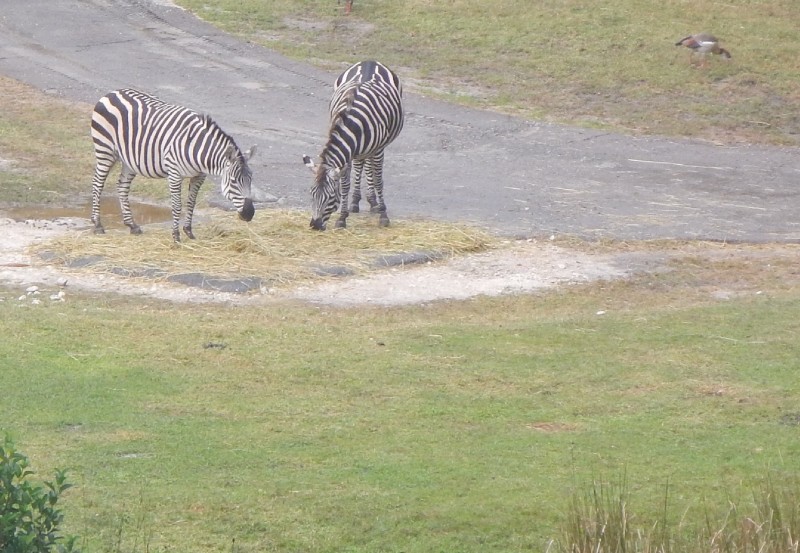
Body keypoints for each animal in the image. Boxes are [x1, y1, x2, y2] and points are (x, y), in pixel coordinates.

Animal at [90, 88, 256, 242]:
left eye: (251, 179)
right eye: (233, 181)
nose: (249, 214)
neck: (196, 147)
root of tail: (113, 92)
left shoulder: (199, 176)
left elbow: (191, 203)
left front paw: (188, 232)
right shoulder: (175, 174)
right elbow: (177, 205)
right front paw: (176, 236)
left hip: (129, 159)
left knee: (122, 186)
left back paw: (132, 225)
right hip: (105, 150)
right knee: (97, 184)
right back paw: (97, 225)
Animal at [302, 60, 404, 230]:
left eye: (330, 197)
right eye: (311, 194)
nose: (315, 225)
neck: (352, 122)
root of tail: (370, 61)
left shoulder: (378, 149)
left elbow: (378, 181)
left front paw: (383, 216)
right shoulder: (348, 153)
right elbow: (345, 184)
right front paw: (342, 218)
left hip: (376, 147)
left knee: (370, 167)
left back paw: (374, 202)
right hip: (360, 150)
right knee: (362, 165)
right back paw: (358, 201)